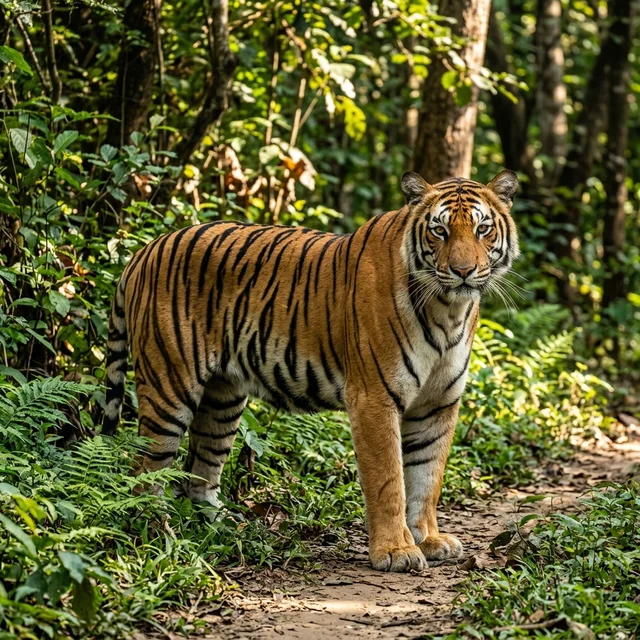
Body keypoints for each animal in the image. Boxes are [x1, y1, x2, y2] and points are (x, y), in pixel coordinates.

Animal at [103, 169, 519, 573]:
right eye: (440, 231)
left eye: (482, 229)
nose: (463, 271)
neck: (448, 309)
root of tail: (143, 250)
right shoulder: (374, 398)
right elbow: (389, 479)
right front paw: (395, 550)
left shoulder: (437, 404)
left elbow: (427, 477)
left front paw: (429, 539)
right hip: (169, 388)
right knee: (143, 473)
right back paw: (159, 533)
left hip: (222, 400)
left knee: (200, 474)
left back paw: (222, 530)